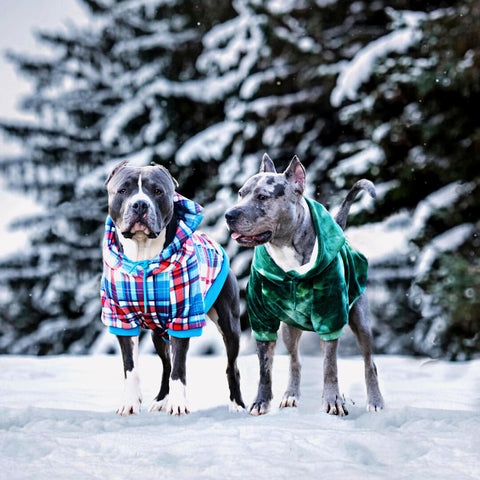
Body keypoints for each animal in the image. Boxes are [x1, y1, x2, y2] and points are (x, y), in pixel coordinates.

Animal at [226, 155, 386, 416]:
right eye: (241, 193)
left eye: (263, 197)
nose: (229, 215)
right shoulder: (262, 321)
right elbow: (264, 368)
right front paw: (261, 402)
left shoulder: (330, 316)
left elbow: (330, 366)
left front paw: (333, 401)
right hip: (289, 329)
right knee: (295, 359)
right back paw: (291, 395)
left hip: (361, 321)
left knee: (368, 362)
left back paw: (375, 401)